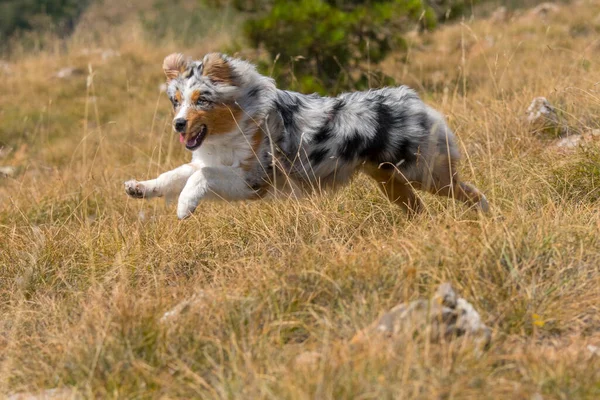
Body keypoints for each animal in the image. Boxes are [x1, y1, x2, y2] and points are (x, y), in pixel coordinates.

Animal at [125, 52, 488, 219]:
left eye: (202, 99)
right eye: (176, 101)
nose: (178, 124)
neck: (230, 127)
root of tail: (414, 99)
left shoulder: (254, 180)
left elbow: (201, 177)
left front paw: (185, 206)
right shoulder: (210, 161)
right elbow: (176, 174)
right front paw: (140, 188)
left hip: (424, 173)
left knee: (468, 191)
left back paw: (484, 214)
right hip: (391, 182)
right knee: (419, 209)